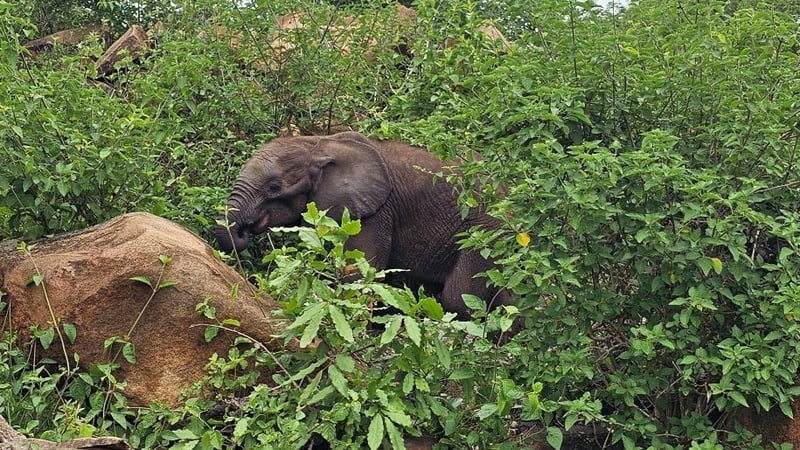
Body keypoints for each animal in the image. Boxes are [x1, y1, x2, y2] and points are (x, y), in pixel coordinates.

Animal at [215, 131, 509, 319]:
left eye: (274, 187)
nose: (244, 232)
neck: (319, 143)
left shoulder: (375, 212)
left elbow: (356, 277)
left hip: (486, 232)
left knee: (458, 298)